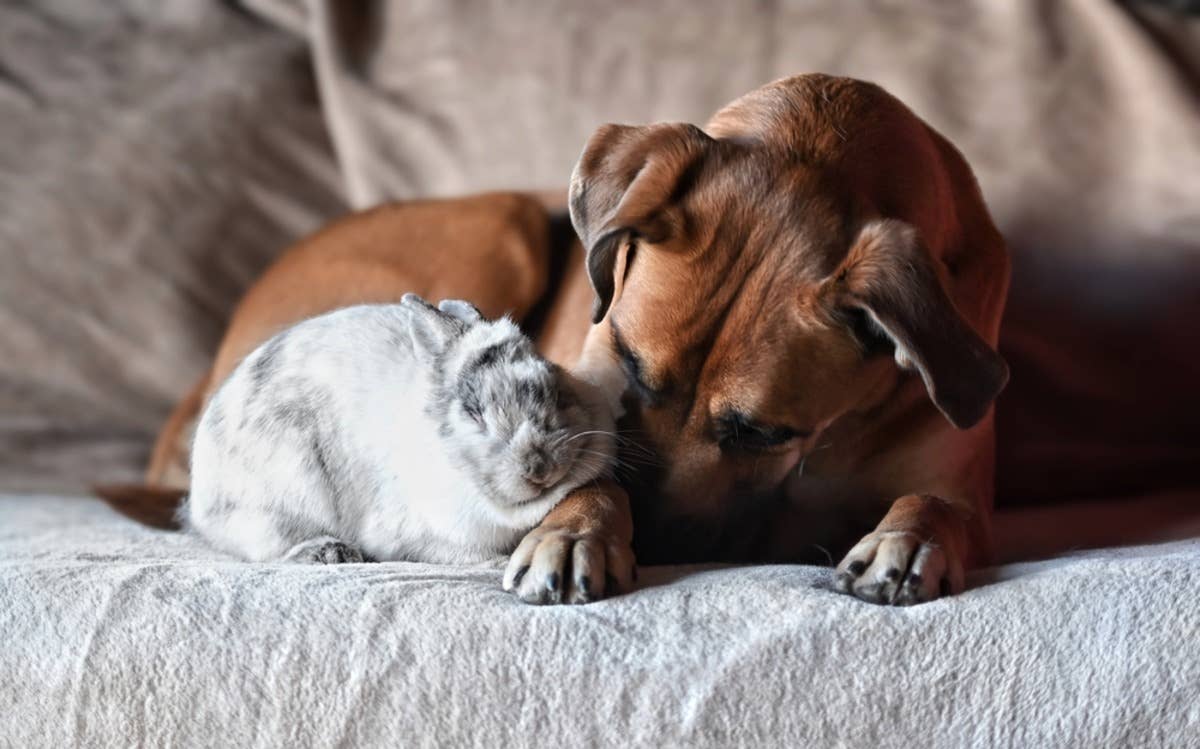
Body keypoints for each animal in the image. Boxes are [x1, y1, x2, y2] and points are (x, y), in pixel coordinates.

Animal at [183, 293, 617, 566]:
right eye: (474, 413)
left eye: (554, 389)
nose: (538, 466)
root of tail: (200, 501)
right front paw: (499, 564)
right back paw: (330, 553)